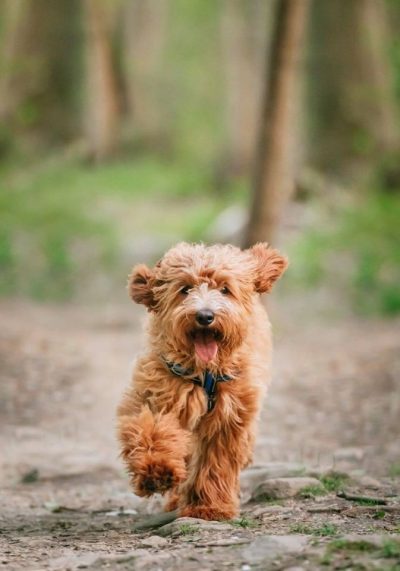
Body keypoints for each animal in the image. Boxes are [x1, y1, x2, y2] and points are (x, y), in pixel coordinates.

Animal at [117, 244, 286, 520]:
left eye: (225, 289)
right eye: (185, 289)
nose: (205, 316)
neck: (205, 371)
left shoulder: (228, 418)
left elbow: (215, 463)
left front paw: (209, 507)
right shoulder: (157, 395)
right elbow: (152, 430)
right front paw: (156, 471)